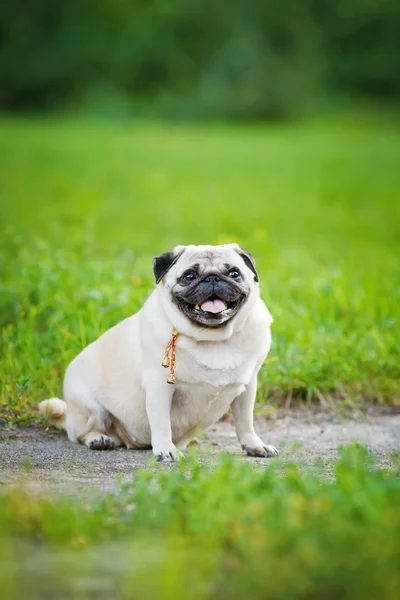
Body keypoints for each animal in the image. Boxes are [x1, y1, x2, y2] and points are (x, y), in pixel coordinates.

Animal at [39, 244, 278, 464]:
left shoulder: (247, 386)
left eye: (234, 273)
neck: (213, 338)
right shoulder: (159, 388)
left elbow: (245, 422)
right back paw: (98, 439)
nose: (212, 278)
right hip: (90, 408)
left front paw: (255, 446)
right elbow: (162, 423)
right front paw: (166, 450)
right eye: (189, 276)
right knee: (81, 433)